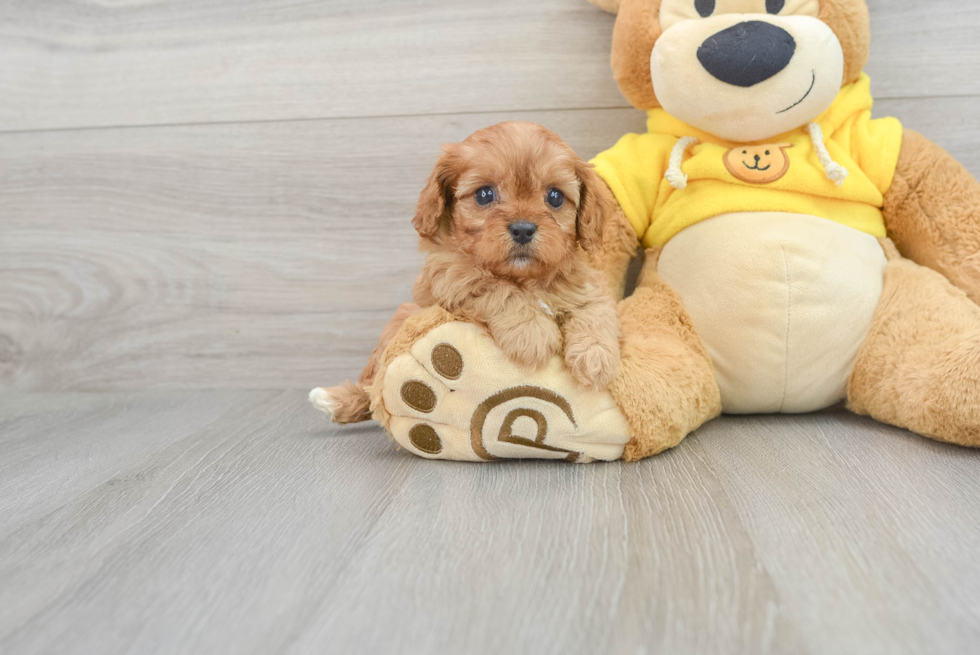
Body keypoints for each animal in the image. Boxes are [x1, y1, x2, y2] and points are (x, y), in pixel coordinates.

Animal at [314, 122, 620, 426]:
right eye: (485, 194)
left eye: (555, 197)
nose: (523, 229)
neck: (525, 278)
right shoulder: (450, 275)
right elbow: (495, 287)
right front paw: (532, 333)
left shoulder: (586, 283)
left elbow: (595, 308)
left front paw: (595, 357)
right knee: (371, 386)